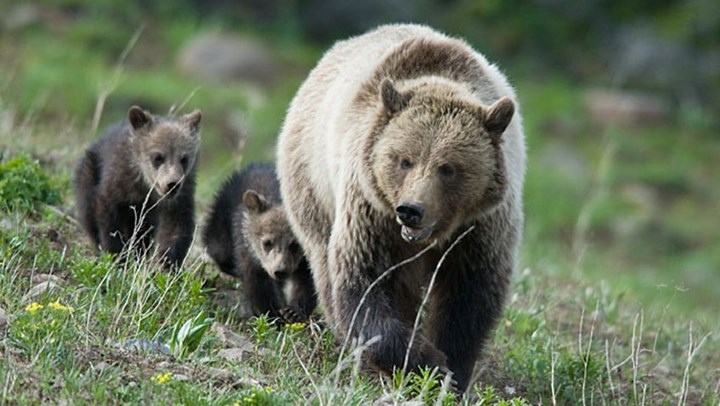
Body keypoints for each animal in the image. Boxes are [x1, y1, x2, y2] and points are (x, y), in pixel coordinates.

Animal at [276, 24, 524, 390]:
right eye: (404, 160)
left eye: (448, 168)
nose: (411, 210)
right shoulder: (372, 212)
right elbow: (366, 283)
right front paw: (424, 360)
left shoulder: (480, 227)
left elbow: (469, 296)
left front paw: (451, 368)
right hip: (312, 184)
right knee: (324, 261)